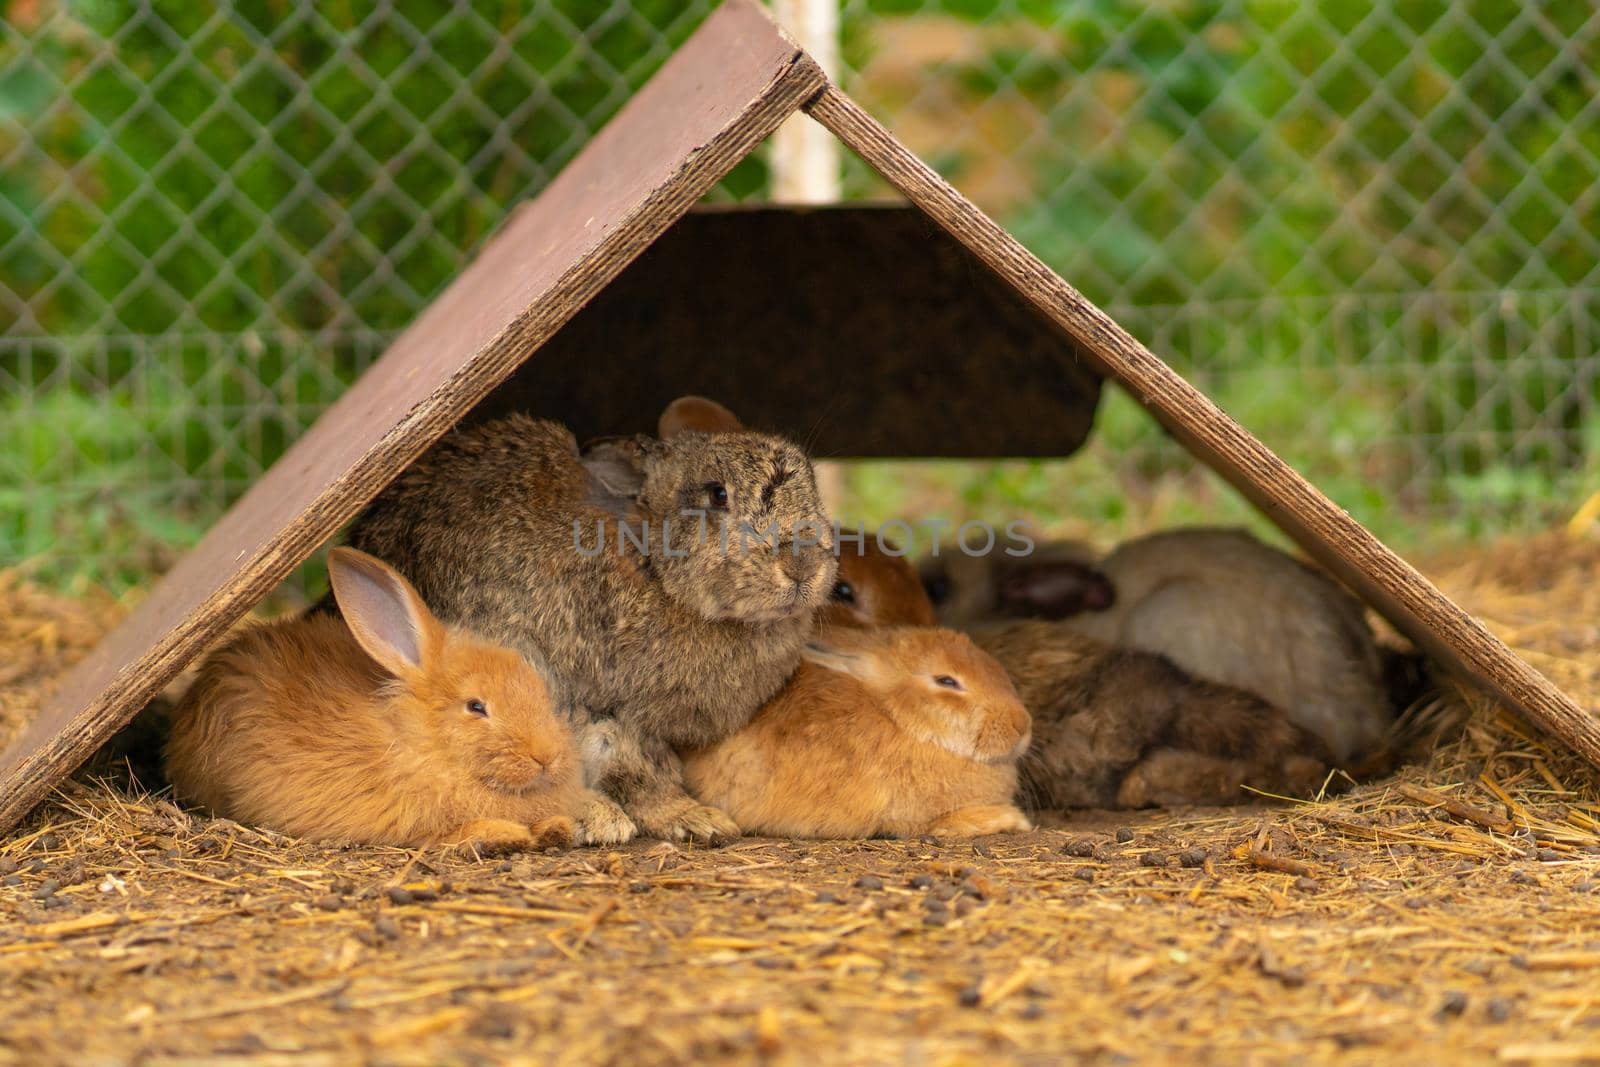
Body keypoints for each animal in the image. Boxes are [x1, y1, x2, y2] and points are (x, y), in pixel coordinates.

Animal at [164, 550, 601, 851]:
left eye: (540, 691)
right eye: (476, 707)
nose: (546, 756)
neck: (422, 743)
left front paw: (556, 829)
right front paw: (504, 835)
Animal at [337, 395, 838, 844]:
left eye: (812, 485)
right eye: (717, 494)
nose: (803, 566)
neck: (653, 567)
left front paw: (695, 818)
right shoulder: (597, 711)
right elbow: (621, 770)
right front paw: (667, 819)